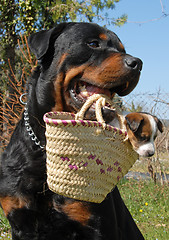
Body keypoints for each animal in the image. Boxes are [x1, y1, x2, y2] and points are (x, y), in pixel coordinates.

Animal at [0, 23, 144, 240]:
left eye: (122, 50)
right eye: (93, 43)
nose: (137, 63)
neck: (44, 146)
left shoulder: (97, 225)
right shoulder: (19, 222)